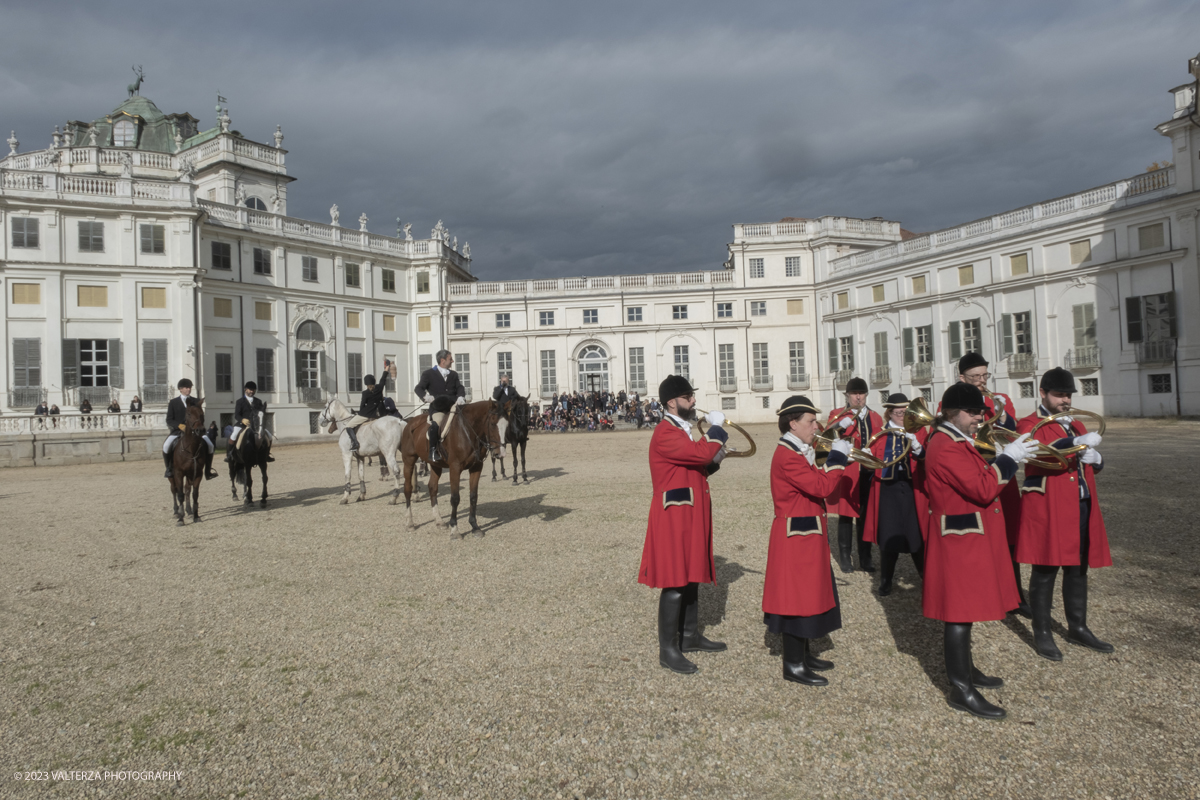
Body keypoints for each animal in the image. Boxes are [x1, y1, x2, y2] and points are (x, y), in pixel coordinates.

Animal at [403, 398, 506, 542]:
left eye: (507, 424)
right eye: (492, 423)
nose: (500, 453)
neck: (468, 431)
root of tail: (410, 422)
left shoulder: (476, 468)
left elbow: (473, 496)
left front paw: (475, 527)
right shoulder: (455, 468)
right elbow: (455, 498)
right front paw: (455, 530)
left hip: (436, 465)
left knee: (432, 488)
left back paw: (439, 521)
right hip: (409, 460)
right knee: (407, 488)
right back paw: (409, 523)